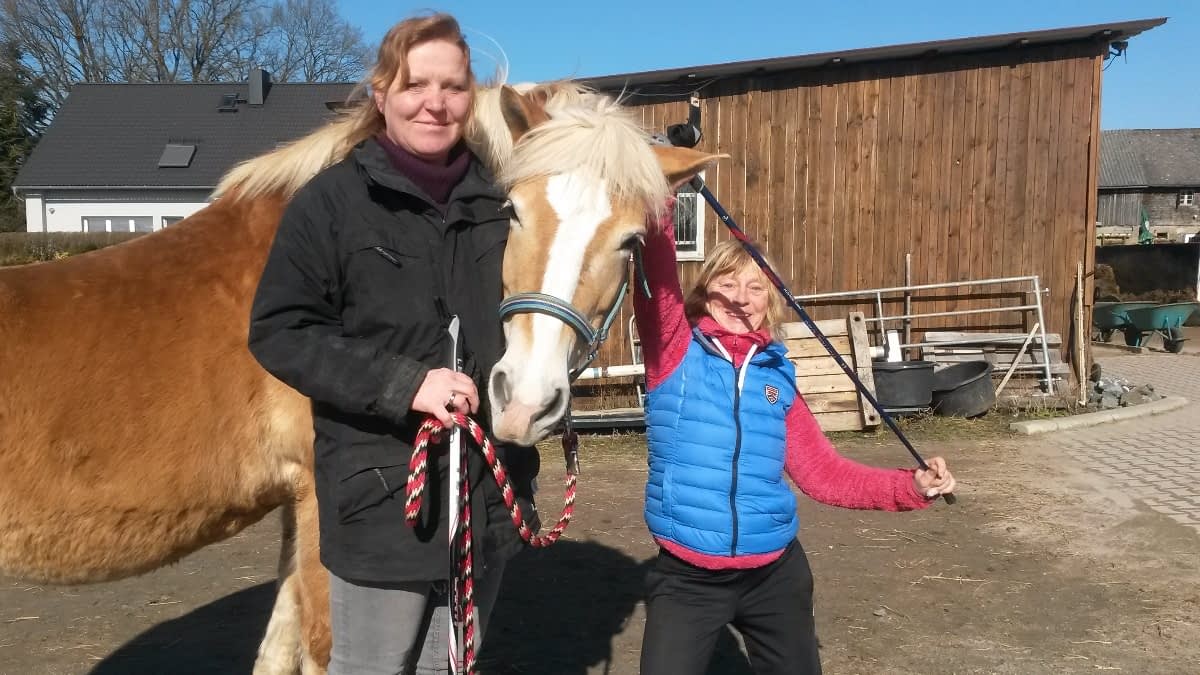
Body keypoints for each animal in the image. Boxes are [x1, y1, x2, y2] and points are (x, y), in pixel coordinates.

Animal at [0, 82, 717, 673]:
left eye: (630, 241)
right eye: (513, 211)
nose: (525, 401)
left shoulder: (297, 512)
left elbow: (277, 645)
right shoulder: (319, 507)